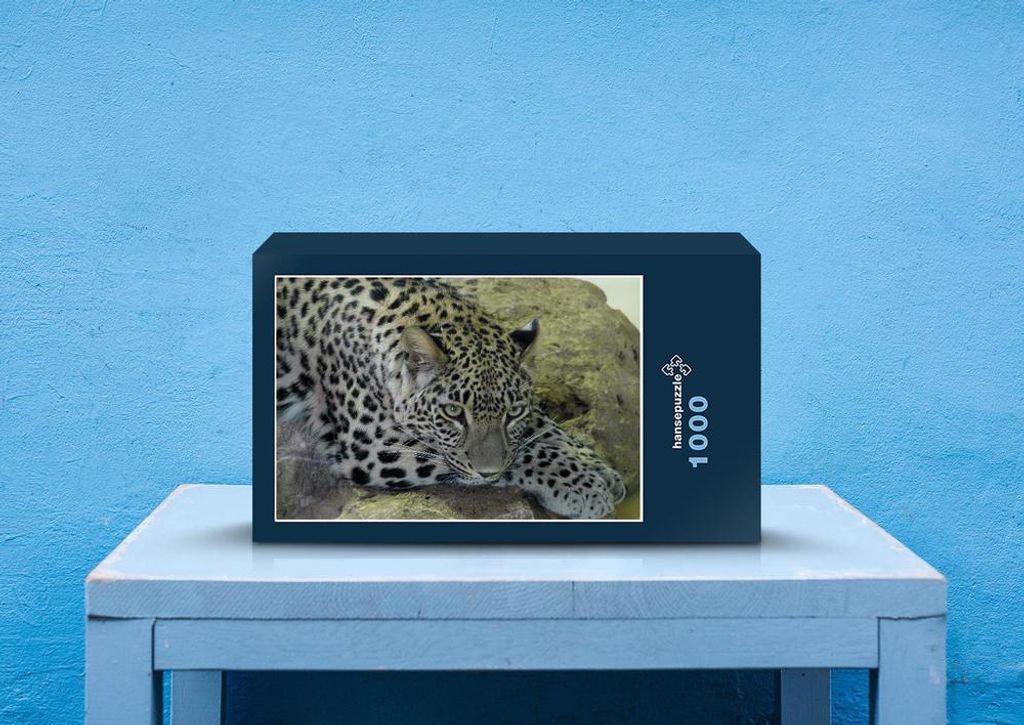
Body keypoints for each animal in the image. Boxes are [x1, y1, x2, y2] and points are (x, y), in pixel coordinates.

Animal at [275, 276, 627, 519]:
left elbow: (538, 427)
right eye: (453, 412)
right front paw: (582, 484)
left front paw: (595, 465)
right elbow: (520, 454)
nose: (488, 473)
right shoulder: (371, 447)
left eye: (513, 412)